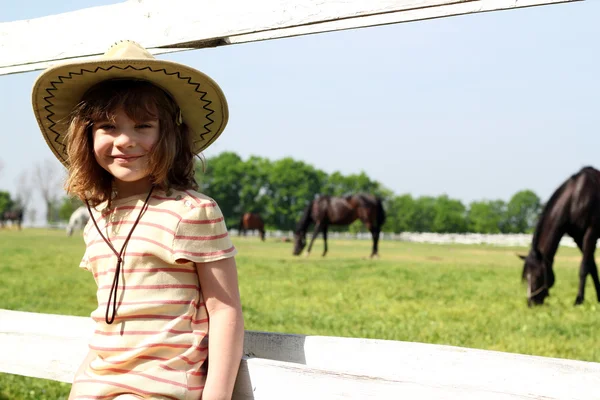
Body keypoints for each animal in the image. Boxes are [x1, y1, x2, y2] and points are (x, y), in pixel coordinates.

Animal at [516, 166, 600, 306]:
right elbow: (592, 267)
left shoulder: (591, 233)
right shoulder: (578, 237)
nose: (531, 302)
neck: (577, 198)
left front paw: (578, 300)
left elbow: (584, 268)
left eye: (537, 276)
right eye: (525, 277)